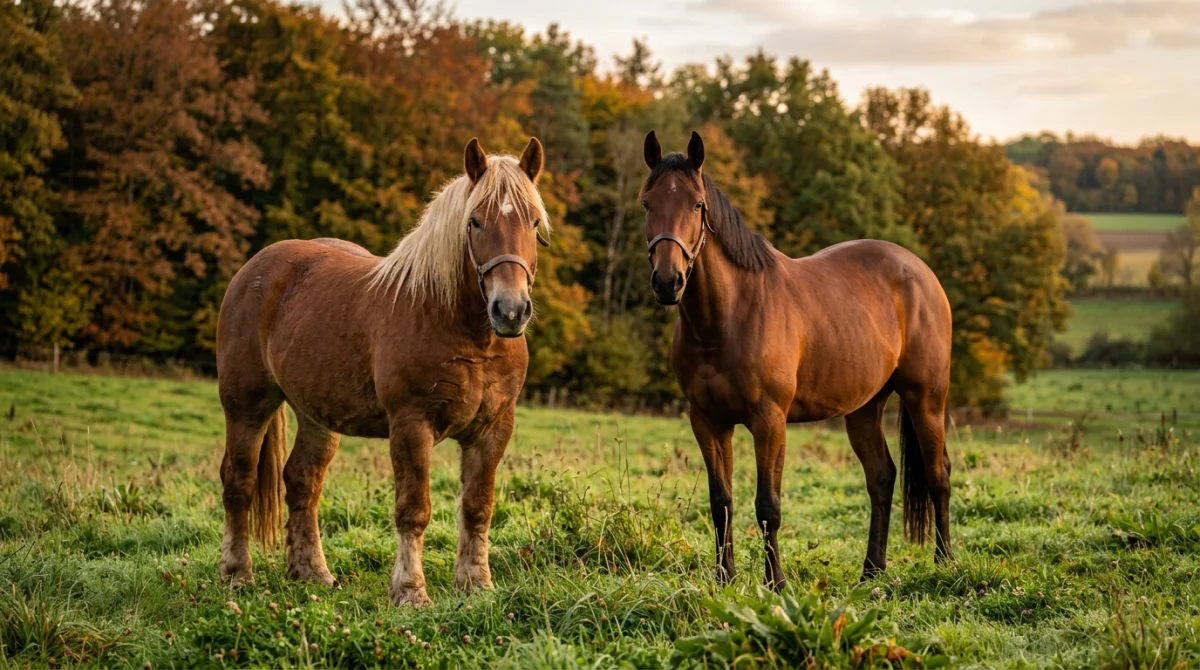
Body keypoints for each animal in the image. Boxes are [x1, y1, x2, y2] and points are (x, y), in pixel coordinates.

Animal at [216, 137, 549, 607]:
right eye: (475, 222)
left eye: (534, 223)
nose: (511, 310)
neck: (465, 331)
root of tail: (255, 269)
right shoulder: (411, 425)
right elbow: (413, 510)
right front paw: (410, 591)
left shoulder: (493, 429)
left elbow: (477, 507)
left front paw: (477, 584)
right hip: (246, 406)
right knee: (238, 482)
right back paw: (236, 574)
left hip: (317, 417)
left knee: (302, 482)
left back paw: (312, 573)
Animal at [640, 131, 954, 588]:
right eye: (648, 203)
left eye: (697, 204)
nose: (668, 282)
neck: (728, 316)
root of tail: (921, 272)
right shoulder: (707, 421)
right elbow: (721, 502)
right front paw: (724, 578)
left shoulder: (769, 420)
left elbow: (768, 506)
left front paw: (776, 583)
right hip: (864, 409)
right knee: (881, 478)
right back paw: (871, 571)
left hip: (925, 399)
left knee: (938, 475)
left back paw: (945, 562)